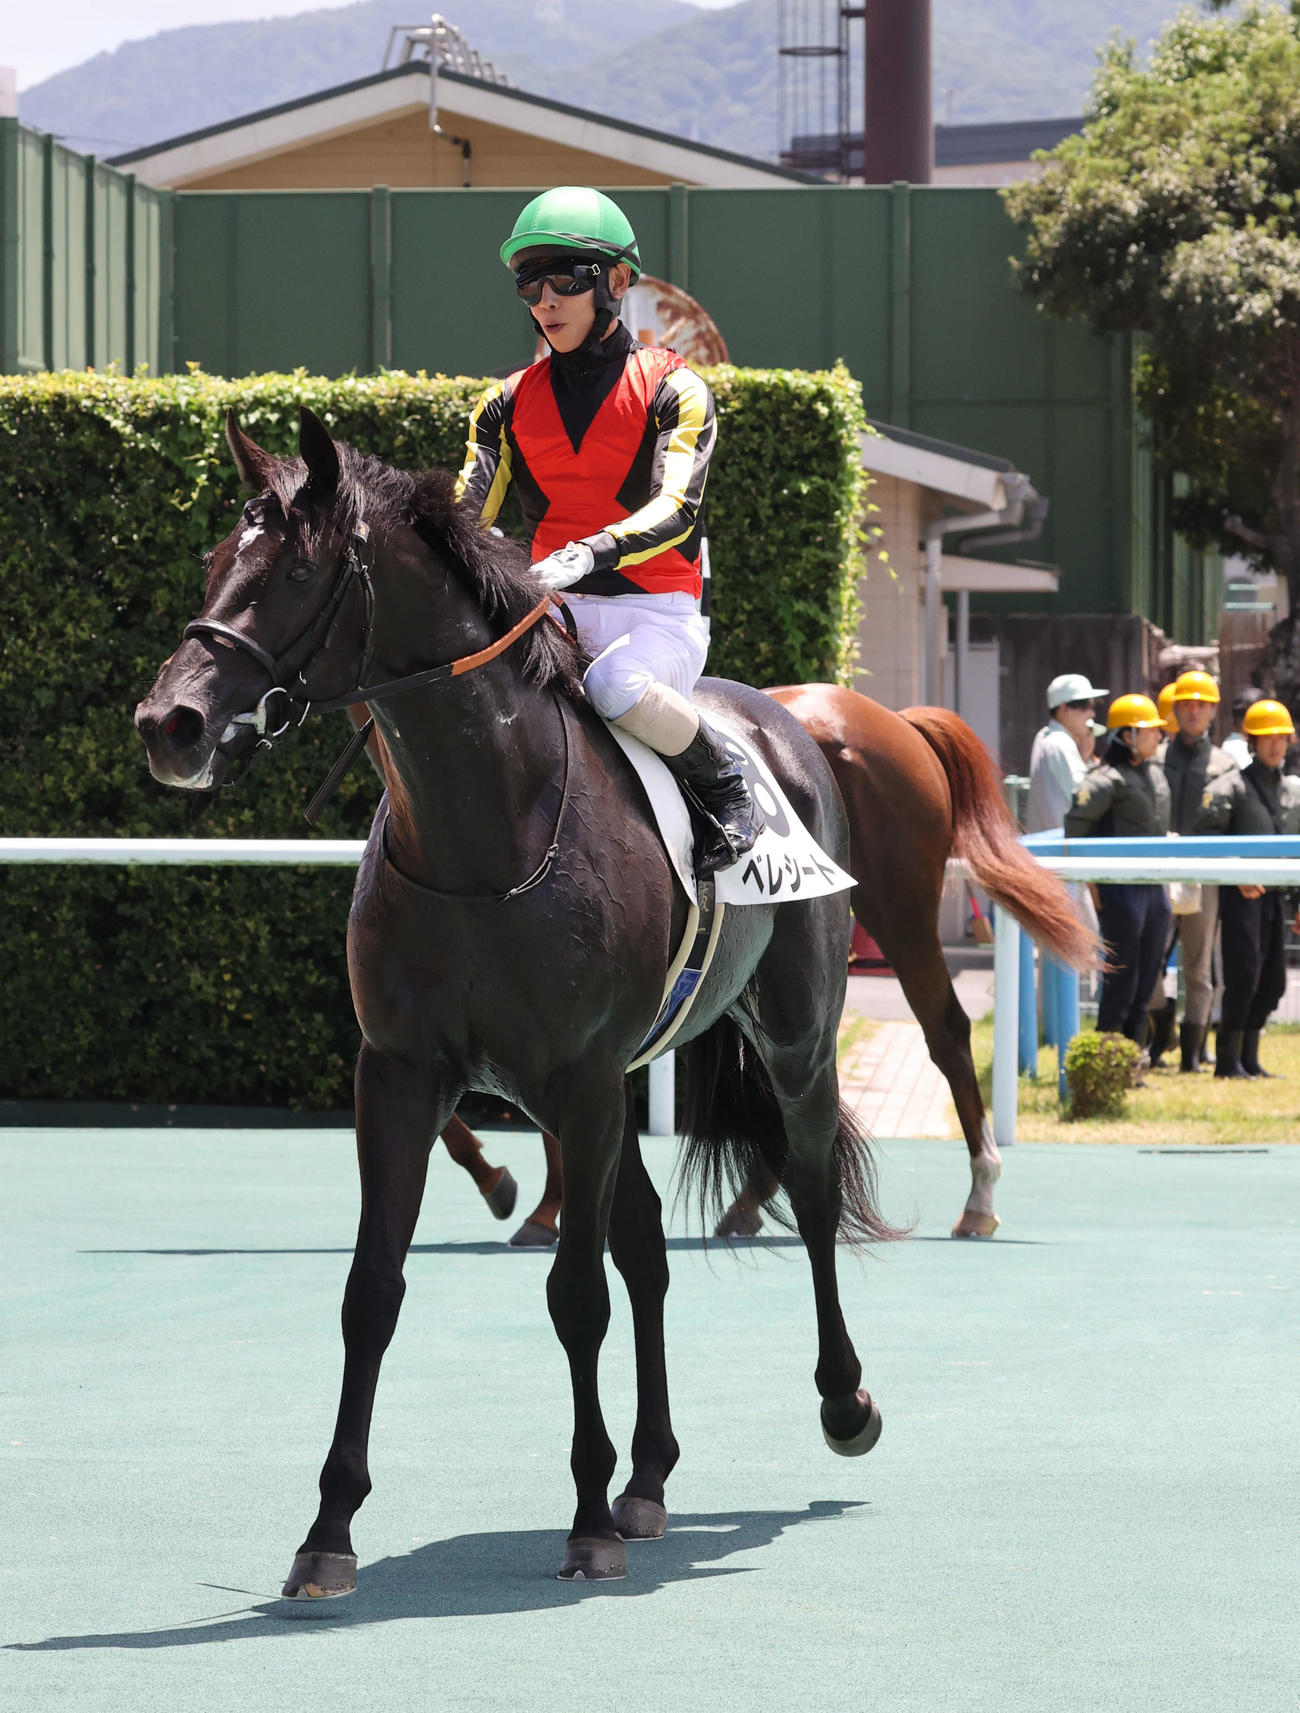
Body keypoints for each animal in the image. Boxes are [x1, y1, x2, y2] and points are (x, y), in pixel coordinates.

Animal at [134, 406, 901, 1596]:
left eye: (295, 571)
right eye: (218, 562)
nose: (168, 723)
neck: (484, 830)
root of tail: (783, 727)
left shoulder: (578, 1081)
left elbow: (575, 1296)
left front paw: (583, 1519)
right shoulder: (407, 1075)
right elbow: (373, 1293)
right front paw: (328, 1531)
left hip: (793, 1040)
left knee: (811, 1194)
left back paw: (840, 1401)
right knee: (646, 1244)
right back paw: (648, 1479)